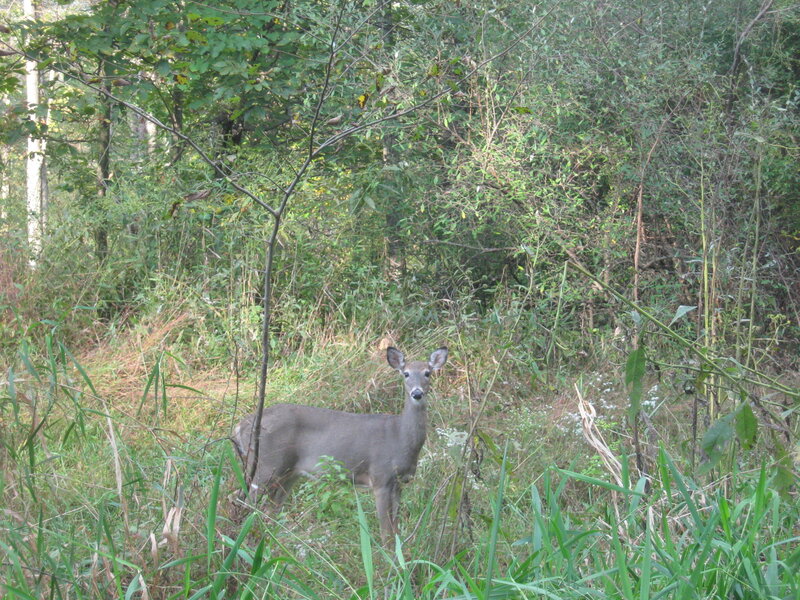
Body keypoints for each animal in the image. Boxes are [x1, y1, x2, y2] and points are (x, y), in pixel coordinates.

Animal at [232, 346, 448, 543]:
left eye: (427, 373)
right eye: (406, 373)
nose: (417, 393)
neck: (400, 438)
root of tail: (240, 426)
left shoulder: (400, 483)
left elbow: (395, 532)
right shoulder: (380, 477)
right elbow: (386, 533)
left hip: (288, 474)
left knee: (269, 511)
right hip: (266, 465)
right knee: (244, 503)